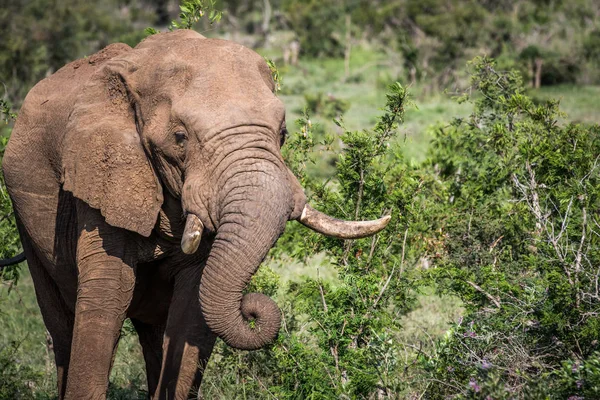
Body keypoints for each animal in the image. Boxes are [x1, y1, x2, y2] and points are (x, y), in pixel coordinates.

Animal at [2, 29, 392, 398]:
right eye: (179, 137)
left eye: (283, 133)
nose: (252, 309)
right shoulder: (101, 175)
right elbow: (108, 296)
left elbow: (192, 308)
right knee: (62, 325)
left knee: (153, 331)